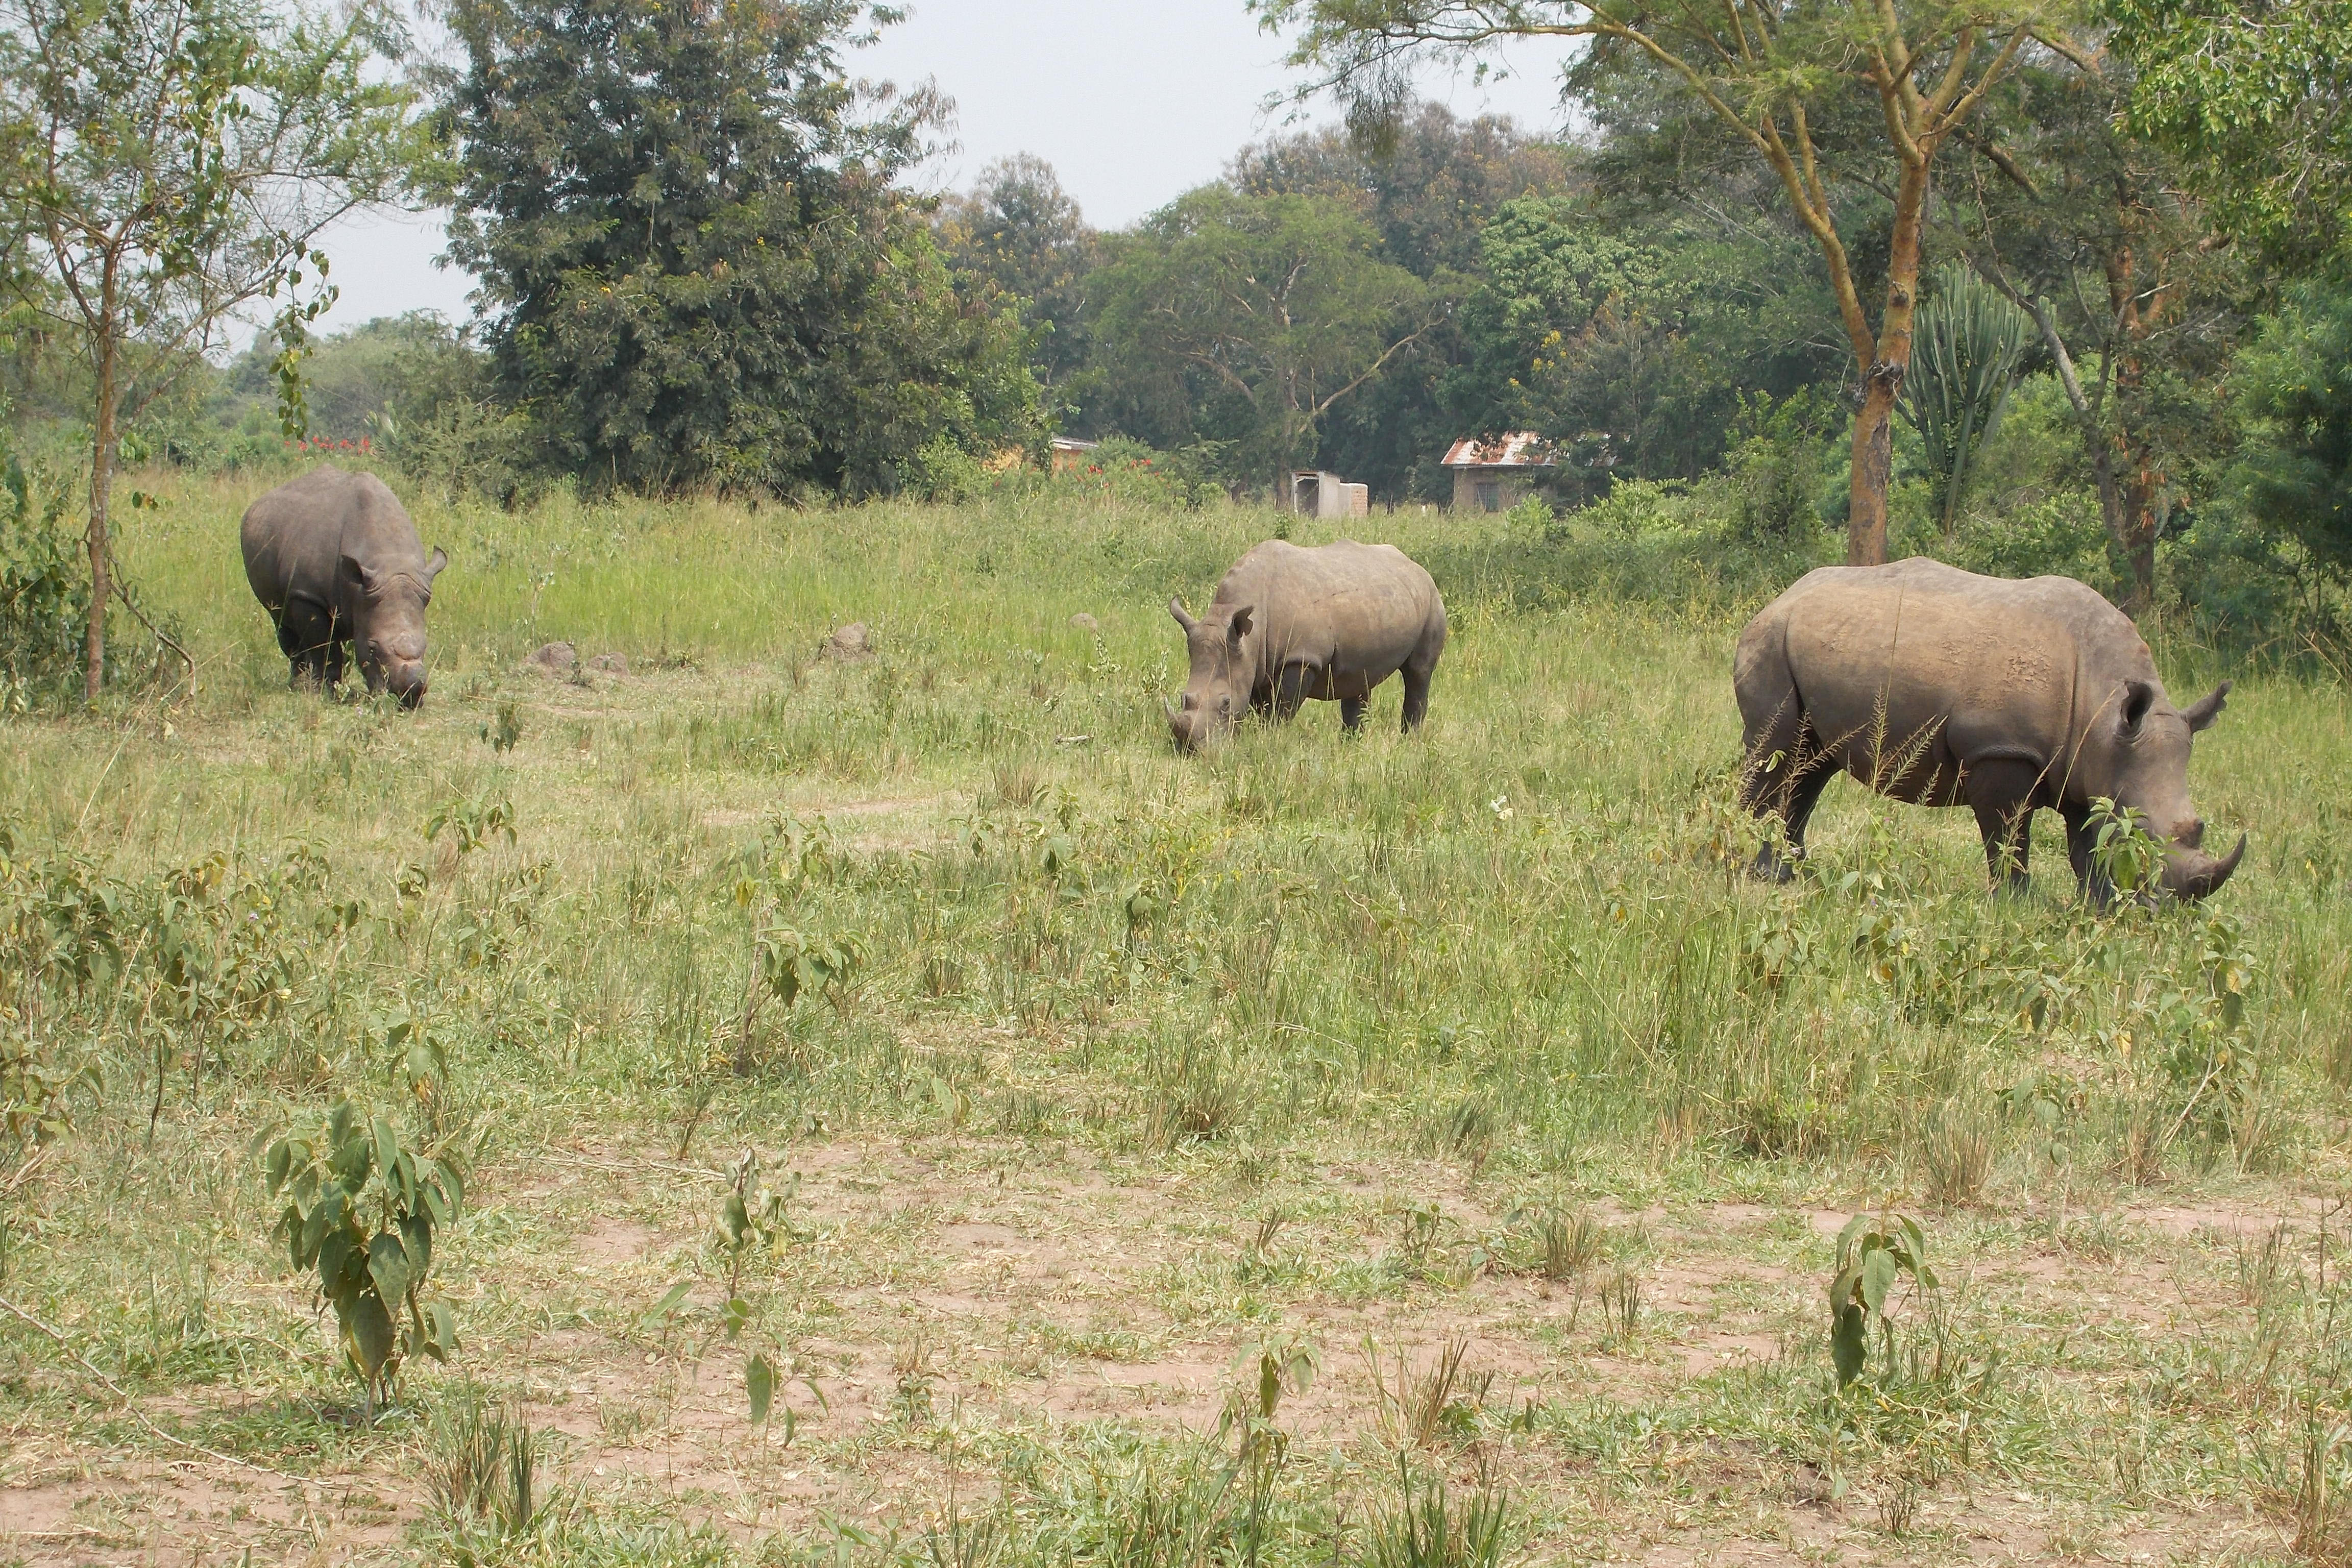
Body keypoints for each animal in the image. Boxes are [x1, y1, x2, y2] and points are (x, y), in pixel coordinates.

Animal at [241, 466, 448, 708]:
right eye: (372, 648)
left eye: (426, 647)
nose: (413, 691)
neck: (389, 563)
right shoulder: (308, 594)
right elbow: (324, 648)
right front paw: (326, 693)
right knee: (282, 622)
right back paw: (298, 686)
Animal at [1168, 539, 1446, 752]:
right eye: (1183, 698)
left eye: (1226, 704)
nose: (1191, 749)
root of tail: (1418, 568)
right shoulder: (1254, 664)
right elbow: (1261, 707)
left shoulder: (1300, 658)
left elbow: (1280, 712)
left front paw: (1272, 742)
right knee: (1359, 679)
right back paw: (1349, 749)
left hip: (1432, 600)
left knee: (1419, 672)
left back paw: (1409, 744)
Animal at [1735, 558, 2242, 901]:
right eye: (2140, 832)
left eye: (2199, 829)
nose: (2174, 906)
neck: (2104, 710)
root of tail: (1777, 599)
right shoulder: (2002, 749)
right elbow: (2008, 835)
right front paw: (2016, 904)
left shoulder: (2088, 765)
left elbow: (2086, 844)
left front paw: (2097, 909)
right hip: (1771, 640)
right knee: (1776, 754)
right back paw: (1757, 873)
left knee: (1811, 768)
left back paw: (1793, 873)